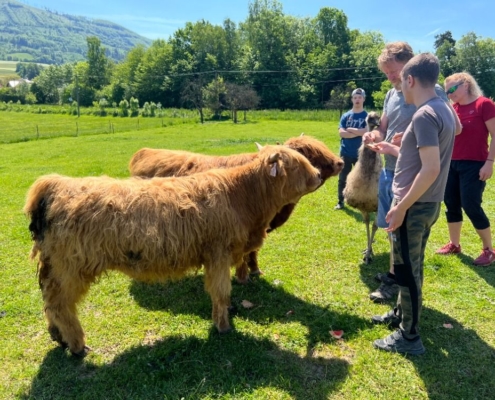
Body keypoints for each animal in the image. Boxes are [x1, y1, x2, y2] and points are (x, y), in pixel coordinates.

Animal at [25, 145, 324, 356]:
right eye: (297, 163)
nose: (319, 175)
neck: (242, 196)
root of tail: (55, 185)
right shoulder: (218, 254)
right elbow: (221, 292)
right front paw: (223, 326)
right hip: (70, 268)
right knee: (60, 305)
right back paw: (77, 345)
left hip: (57, 268)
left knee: (49, 302)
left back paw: (59, 337)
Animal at [130, 136, 342, 282]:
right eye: (309, 153)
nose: (340, 162)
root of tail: (144, 152)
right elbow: (249, 252)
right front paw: (248, 272)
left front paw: (252, 270)